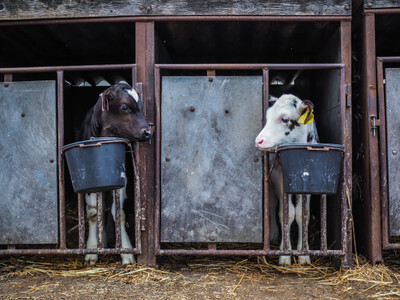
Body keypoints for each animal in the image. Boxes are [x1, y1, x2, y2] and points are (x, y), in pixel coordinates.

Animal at [256, 94, 318, 264]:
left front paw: (304, 254)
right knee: (272, 205)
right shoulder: (279, 177)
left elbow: (303, 214)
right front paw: (285, 254)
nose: (259, 140)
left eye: (284, 119)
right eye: (267, 117)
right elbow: (286, 213)